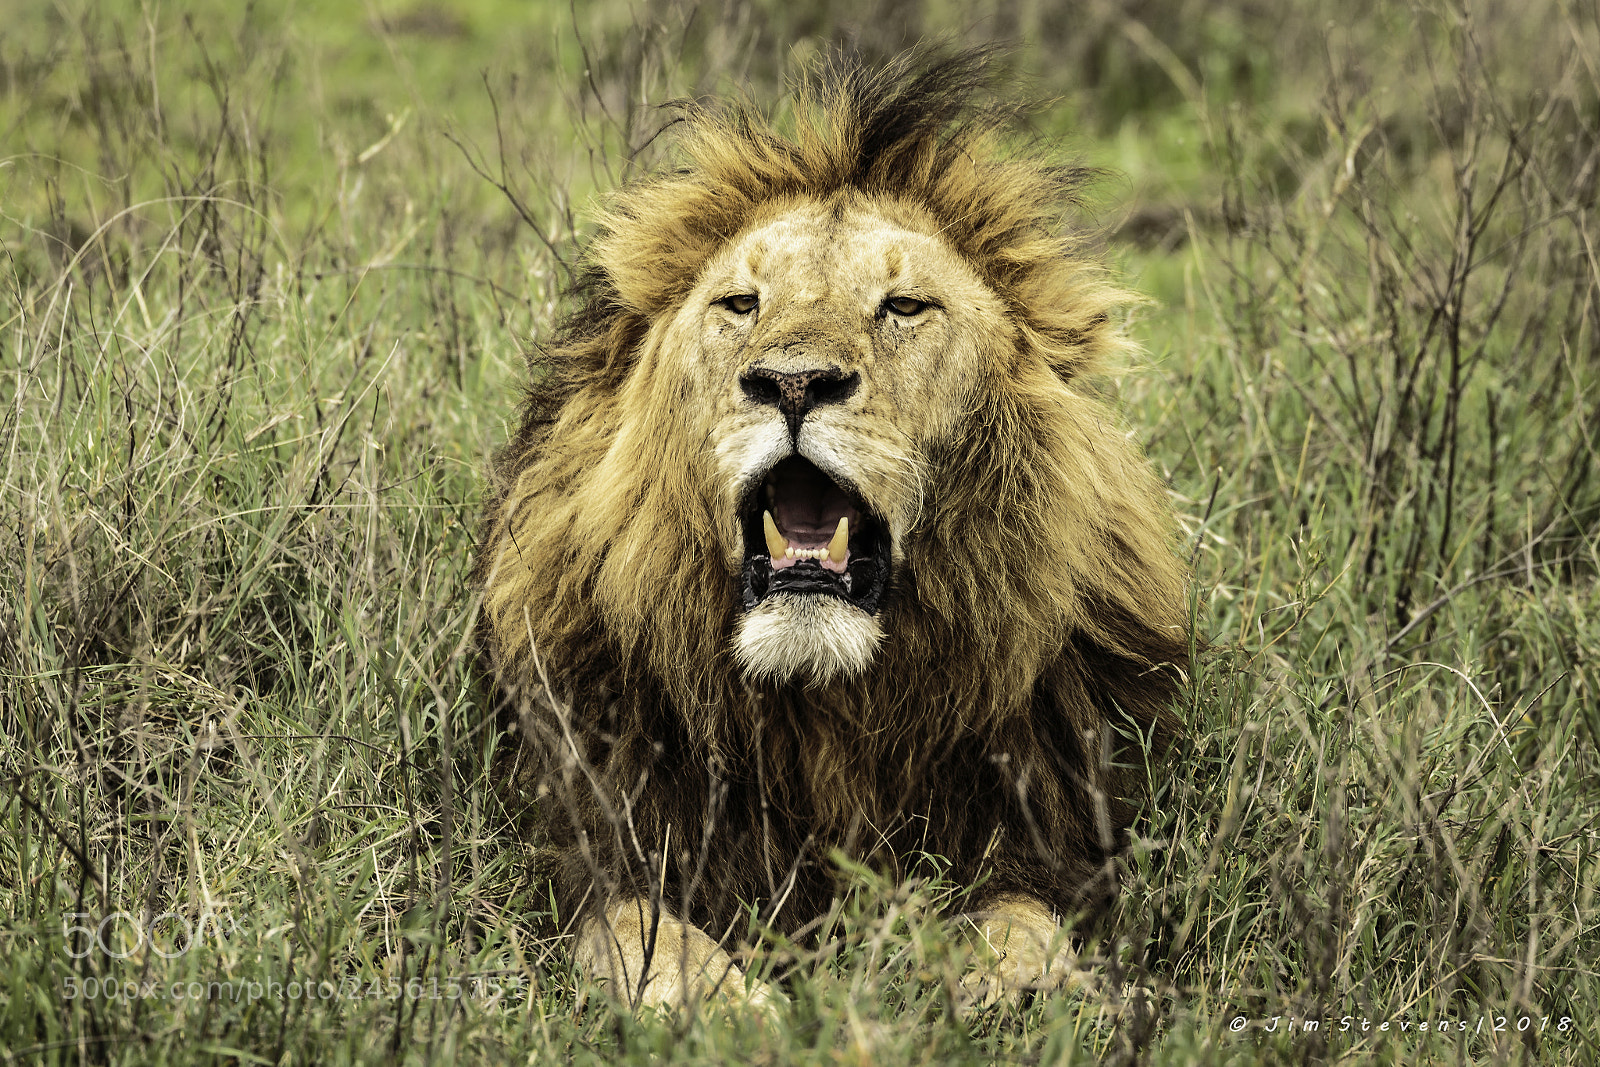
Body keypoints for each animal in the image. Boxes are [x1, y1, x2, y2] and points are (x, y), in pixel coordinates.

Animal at [474, 48, 1192, 1011]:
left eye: (905, 306)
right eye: (741, 304)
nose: (793, 382)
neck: (824, 710)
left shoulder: (1050, 833)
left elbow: (1022, 922)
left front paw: (1009, 991)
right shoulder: (596, 843)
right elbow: (651, 937)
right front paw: (739, 1011)